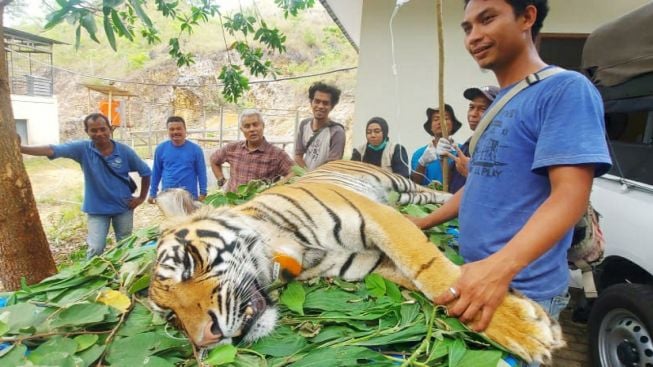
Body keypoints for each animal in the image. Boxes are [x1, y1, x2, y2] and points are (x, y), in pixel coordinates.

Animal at [148, 160, 560, 366]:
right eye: (171, 318)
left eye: (189, 264)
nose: (207, 338)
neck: (296, 254)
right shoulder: (370, 262)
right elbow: (424, 283)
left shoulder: (378, 218)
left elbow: (431, 270)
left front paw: (527, 332)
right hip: (402, 198)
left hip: (395, 184)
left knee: (424, 189)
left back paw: (450, 194)